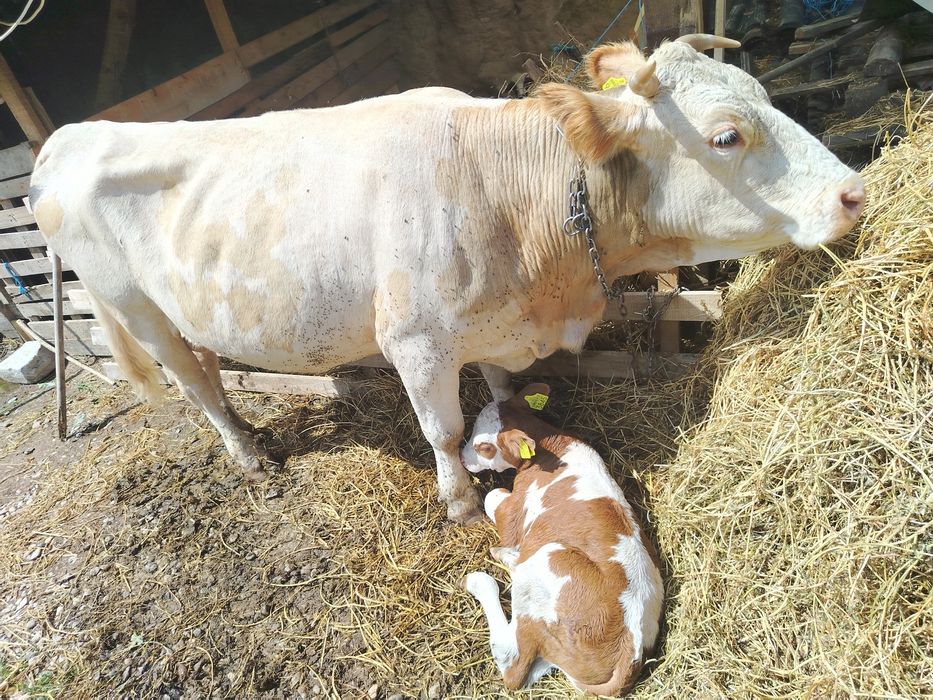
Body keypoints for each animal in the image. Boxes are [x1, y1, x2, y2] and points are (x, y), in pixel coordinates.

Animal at [29, 35, 865, 524]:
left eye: (764, 95)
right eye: (726, 135)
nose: (854, 193)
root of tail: (71, 135)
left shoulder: (497, 327)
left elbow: (500, 387)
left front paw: (519, 423)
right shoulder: (417, 343)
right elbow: (445, 429)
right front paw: (460, 500)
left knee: (206, 367)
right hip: (134, 309)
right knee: (194, 385)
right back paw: (248, 455)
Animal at [461, 383, 663, 694]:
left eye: (484, 446)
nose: (461, 457)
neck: (550, 447)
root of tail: (632, 651)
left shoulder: (513, 514)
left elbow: (493, 497)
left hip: (546, 564)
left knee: (513, 666)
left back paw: (481, 580)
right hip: (557, 649)